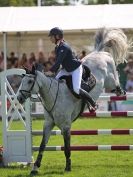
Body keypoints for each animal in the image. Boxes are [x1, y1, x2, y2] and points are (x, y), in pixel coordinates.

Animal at [16, 28, 129, 176]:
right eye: (22, 81)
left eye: (29, 81)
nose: (19, 98)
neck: (53, 95)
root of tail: (99, 52)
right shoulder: (48, 124)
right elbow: (42, 145)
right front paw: (35, 168)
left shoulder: (66, 126)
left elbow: (67, 147)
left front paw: (68, 167)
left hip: (110, 79)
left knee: (116, 81)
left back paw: (120, 92)